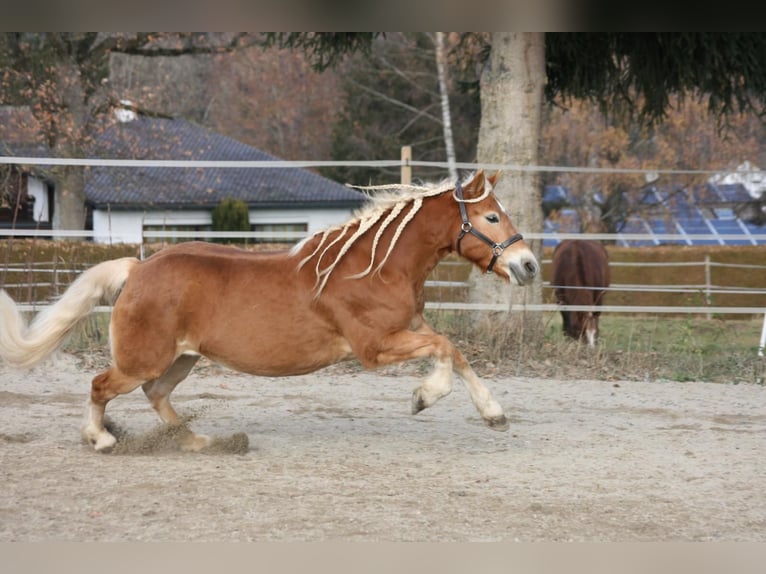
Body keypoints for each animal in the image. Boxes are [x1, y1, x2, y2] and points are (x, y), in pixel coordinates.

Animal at [0, 171, 540, 454]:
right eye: (492, 216)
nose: (528, 264)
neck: (374, 267)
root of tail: (137, 267)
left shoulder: (410, 328)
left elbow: (459, 353)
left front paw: (494, 414)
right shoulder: (373, 347)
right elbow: (445, 350)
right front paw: (423, 398)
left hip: (182, 358)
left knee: (156, 394)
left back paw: (197, 440)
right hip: (143, 359)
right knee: (101, 385)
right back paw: (102, 440)